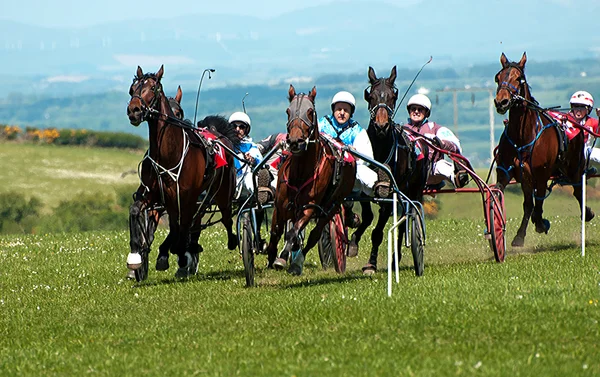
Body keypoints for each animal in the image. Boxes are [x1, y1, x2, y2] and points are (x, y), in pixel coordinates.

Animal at [126, 64, 239, 278]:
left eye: (153, 88)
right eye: (132, 89)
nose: (134, 110)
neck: (169, 154)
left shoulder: (185, 196)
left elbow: (181, 226)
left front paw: (179, 253)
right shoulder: (156, 194)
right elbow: (137, 210)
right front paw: (137, 255)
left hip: (220, 193)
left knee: (226, 218)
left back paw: (230, 241)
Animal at [268, 84, 356, 274]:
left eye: (310, 112)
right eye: (288, 111)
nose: (295, 141)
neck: (300, 172)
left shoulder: (309, 207)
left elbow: (293, 232)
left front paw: (283, 257)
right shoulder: (280, 205)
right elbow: (276, 232)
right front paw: (270, 257)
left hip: (333, 205)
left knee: (315, 234)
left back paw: (296, 261)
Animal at [352, 66, 432, 274]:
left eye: (392, 97)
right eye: (371, 96)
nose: (381, 126)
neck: (380, 148)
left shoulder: (390, 194)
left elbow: (378, 231)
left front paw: (371, 264)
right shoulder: (364, 190)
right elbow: (367, 216)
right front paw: (353, 242)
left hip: (413, 191)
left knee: (406, 220)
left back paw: (396, 259)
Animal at [492, 53, 596, 247]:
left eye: (519, 78)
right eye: (498, 77)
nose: (501, 102)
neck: (522, 136)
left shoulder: (540, 173)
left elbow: (537, 201)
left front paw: (539, 224)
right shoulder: (508, 173)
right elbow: (519, 201)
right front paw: (516, 235)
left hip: (574, 167)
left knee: (578, 190)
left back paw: (586, 213)